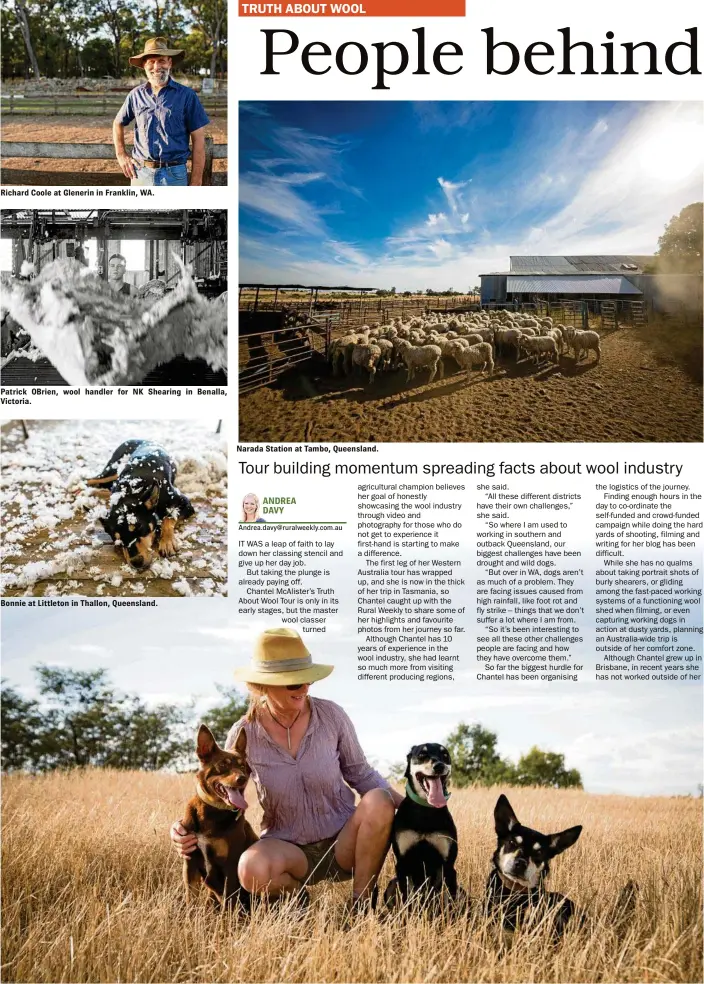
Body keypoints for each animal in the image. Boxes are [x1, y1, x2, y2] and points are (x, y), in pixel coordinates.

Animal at [87, 440, 195, 568]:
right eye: (118, 540)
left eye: (139, 528)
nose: (136, 562)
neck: (132, 491)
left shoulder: (185, 503)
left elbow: (168, 518)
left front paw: (167, 541)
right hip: (112, 470)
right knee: (90, 480)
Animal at [182, 724, 258, 908]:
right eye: (223, 764)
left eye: (243, 766)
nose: (242, 778)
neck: (212, 811)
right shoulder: (190, 861)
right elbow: (190, 899)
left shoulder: (230, 864)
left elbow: (229, 901)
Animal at [382, 744, 460, 908]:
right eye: (422, 754)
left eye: (445, 755)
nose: (439, 766)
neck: (426, 808)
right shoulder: (402, 864)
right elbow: (406, 899)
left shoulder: (448, 865)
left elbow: (449, 900)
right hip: (392, 883)